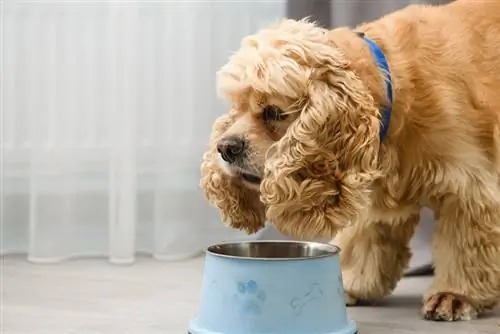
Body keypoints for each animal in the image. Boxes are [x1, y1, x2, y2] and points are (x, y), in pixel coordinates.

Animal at [200, 0, 500, 320]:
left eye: (273, 112)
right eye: (237, 107)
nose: (225, 147)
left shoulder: (467, 187)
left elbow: (463, 246)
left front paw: (455, 295)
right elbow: (363, 241)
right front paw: (351, 284)